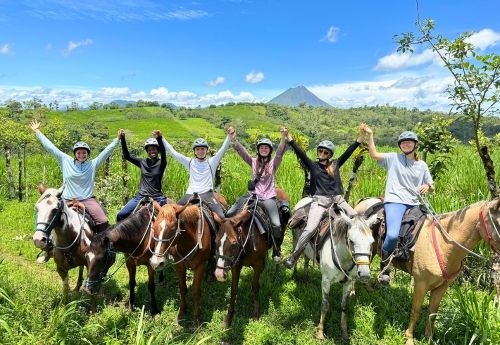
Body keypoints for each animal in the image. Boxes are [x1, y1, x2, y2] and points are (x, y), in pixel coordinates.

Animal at [148, 192, 227, 326]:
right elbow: (183, 289)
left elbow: (196, 292)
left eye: (173, 229)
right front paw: (181, 313)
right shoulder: (179, 265)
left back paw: (210, 276)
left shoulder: (200, 266)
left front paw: (196, 320)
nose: (156, 263)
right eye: (154, 227)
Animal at [212, 189, 290, 326]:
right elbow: (234, 289)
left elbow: (255, 287)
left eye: (233, 243)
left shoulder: (257, 264)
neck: (248, 239)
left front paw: (256, 313)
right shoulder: (236, 265)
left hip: (280, 235)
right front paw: (229, 317)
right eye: (216, 241)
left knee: (278, 252)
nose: (219, 274)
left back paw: (275, 275)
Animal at [356, 196, 500, 344]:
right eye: (498, 223)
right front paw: (409, 338)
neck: (444, 245)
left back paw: (369, 289)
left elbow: (433, 312)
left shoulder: (442, 287)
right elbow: (416, 311)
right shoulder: (421, 284)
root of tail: (364, 200)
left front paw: (428, 337)